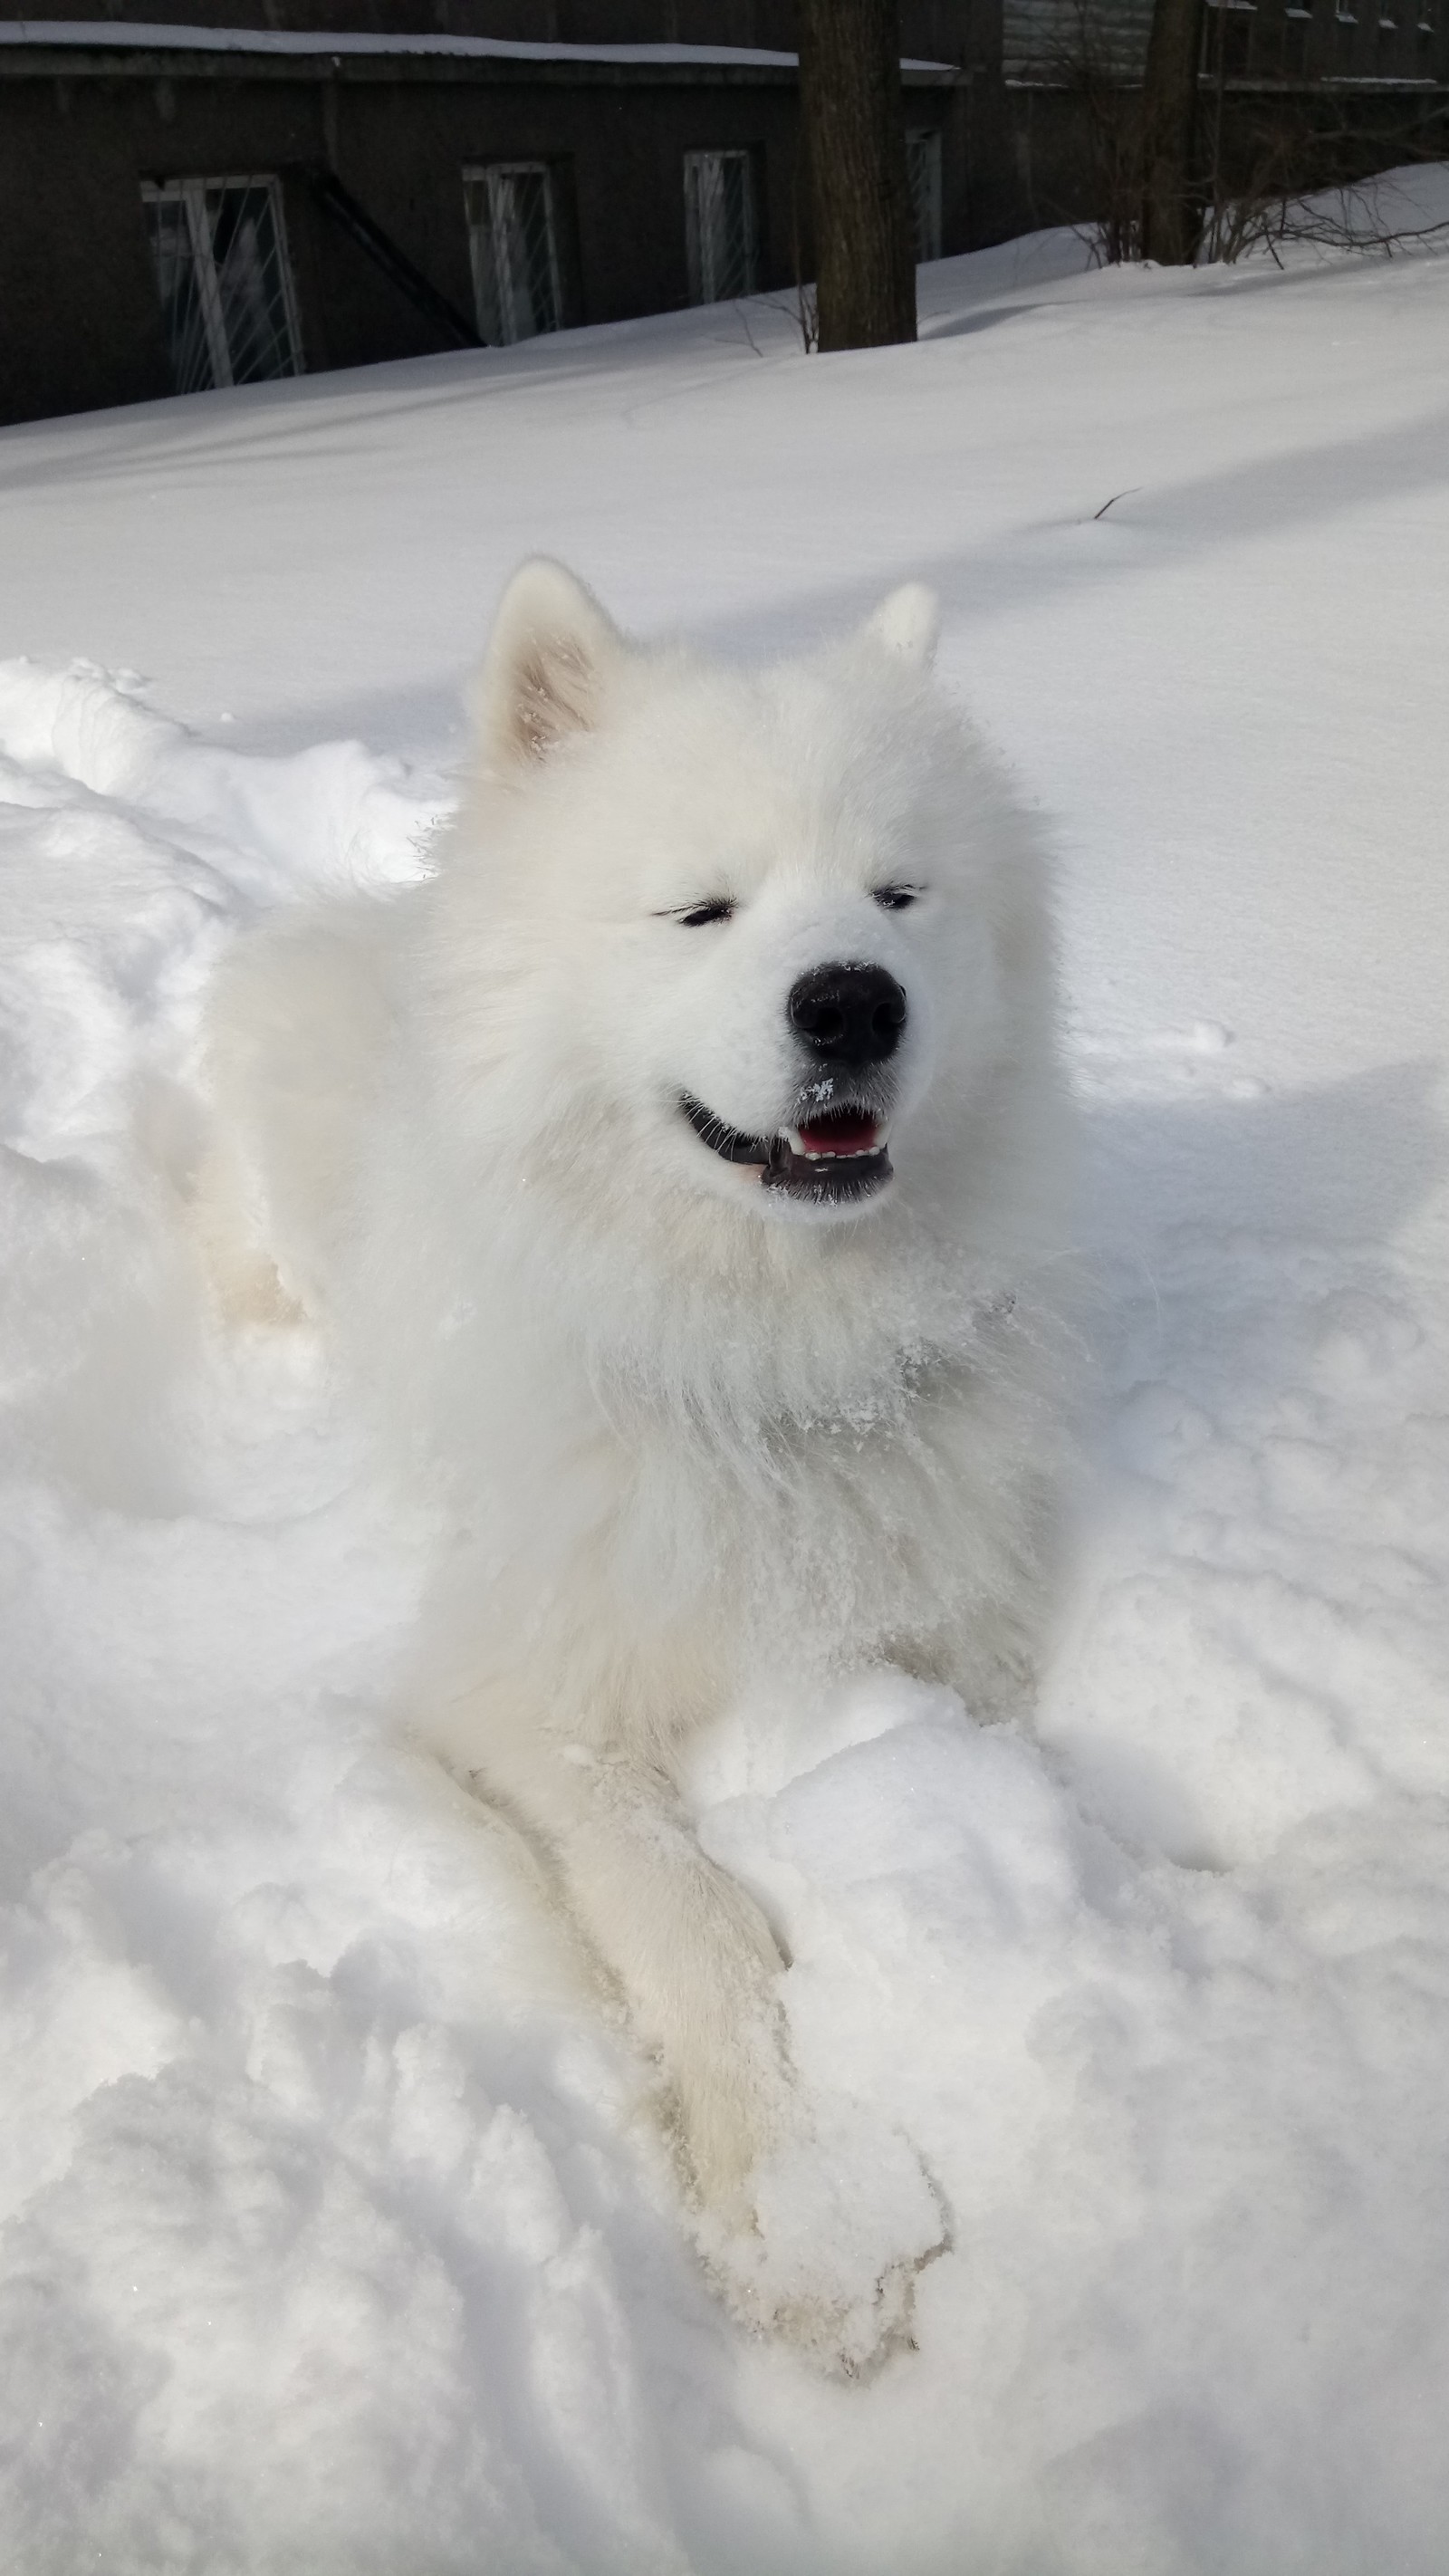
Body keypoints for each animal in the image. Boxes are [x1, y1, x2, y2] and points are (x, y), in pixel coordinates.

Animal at [197, 569, 1070, 2369]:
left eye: (900, 896)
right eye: (701, 914)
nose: (853, 999)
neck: (763, 1356)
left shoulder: (962, 1632)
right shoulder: (525, 1694)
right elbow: (691, 1917)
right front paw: (804, 2219)